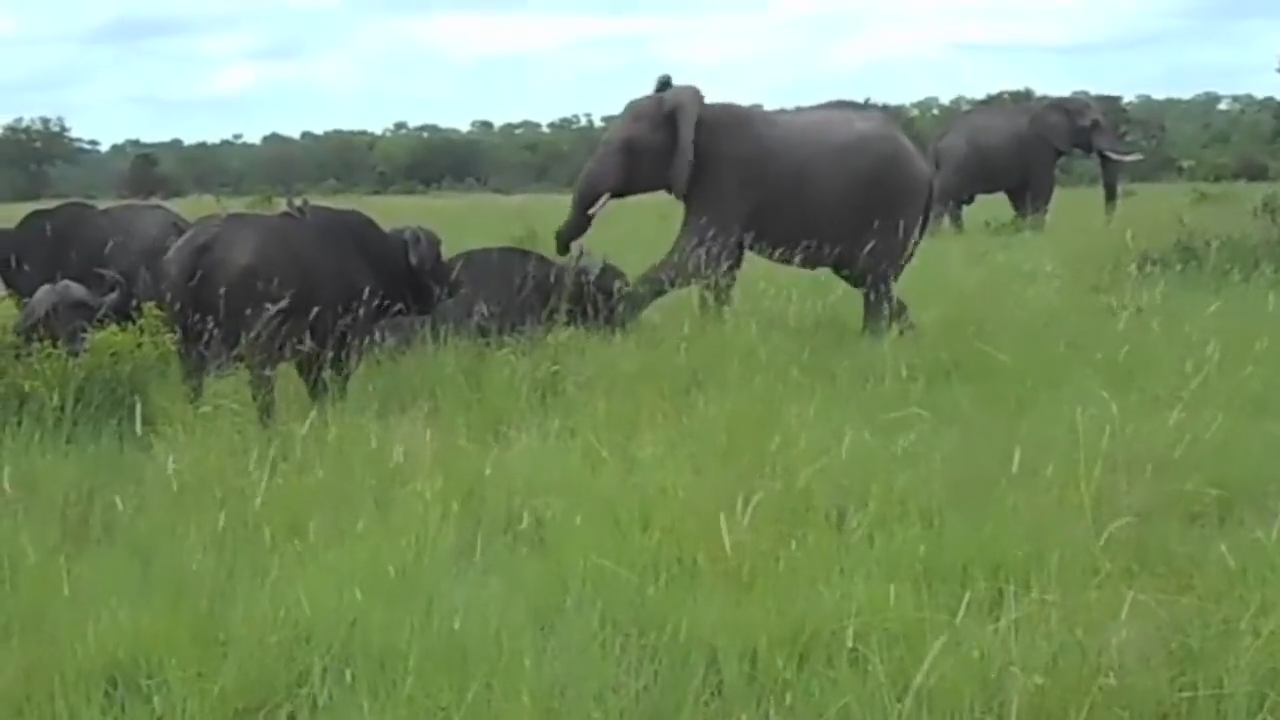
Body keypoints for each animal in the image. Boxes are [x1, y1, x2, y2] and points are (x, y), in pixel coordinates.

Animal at [160, 202, 454, 424]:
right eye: (438, 256)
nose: (449, 282)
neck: (372, 255)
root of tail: (201, 244)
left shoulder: (309, 352)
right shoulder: (342, 344)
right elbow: (334, 385)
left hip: (187, 349)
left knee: (193, 386)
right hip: (259, 351)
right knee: (262, 393)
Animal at [552, 75, 934, 335]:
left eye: (628, 147)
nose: (561, 245)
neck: (698, 112)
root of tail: (925, 164)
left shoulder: (724, 175)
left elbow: (699, 256)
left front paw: (611, 321)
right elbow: (721, 266)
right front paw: (713, 334)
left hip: (894, 204)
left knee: (875, 281)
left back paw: (872, 345)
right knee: (869, 280)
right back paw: (907, 337)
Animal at [930, 96, 1145, 232]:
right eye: (1093, 124)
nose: (1105, 228)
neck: (1059, 102)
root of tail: (939, 136)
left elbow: (1018, 194)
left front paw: (1022, 230)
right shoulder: (1039, 146)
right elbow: (1044, 185)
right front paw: (1036, 232)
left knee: (954, 204)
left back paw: (959, 236)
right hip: (954, 162)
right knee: (943, 200)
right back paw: (936, 239)